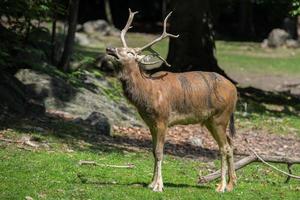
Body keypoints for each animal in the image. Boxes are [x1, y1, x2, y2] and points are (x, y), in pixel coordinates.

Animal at [106, 9, 238, 192]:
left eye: (131, 53)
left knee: (224, 147)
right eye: (121, 48)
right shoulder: (150, 123)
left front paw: (158, 186)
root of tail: (235, 90)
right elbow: (153, 151)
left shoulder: (163, 119)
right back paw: (232, 183)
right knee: (230, 143)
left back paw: (222, 186)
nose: (110, 48)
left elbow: (160, 152)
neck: (148, 92)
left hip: (221, 116)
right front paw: (151, 182)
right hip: (211, 120)